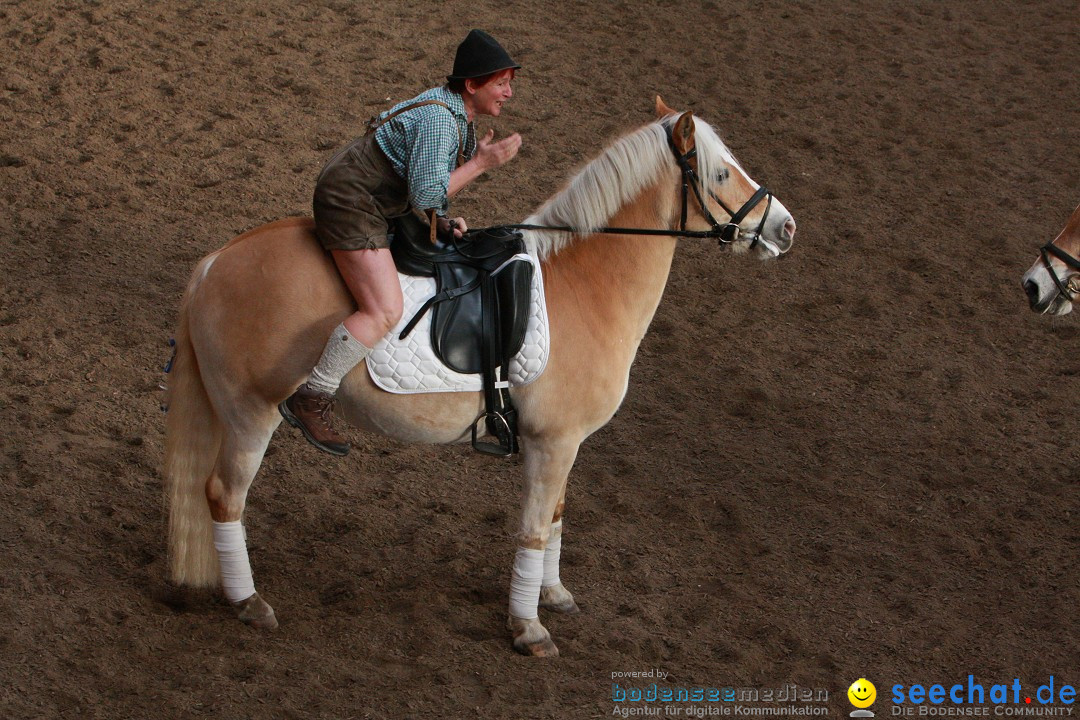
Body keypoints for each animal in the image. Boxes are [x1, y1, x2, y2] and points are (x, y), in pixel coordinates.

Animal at [164, 98, 799, 656]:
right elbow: (533, 530)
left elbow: (556, 517)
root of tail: (215, 263)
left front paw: (554, 594)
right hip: (252, 412)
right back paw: (248, 601)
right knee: (224, 496)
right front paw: (529, 628)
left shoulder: (565, 445)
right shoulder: (553, 443)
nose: (786, 227)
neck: (589, 284)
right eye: (721, 172)